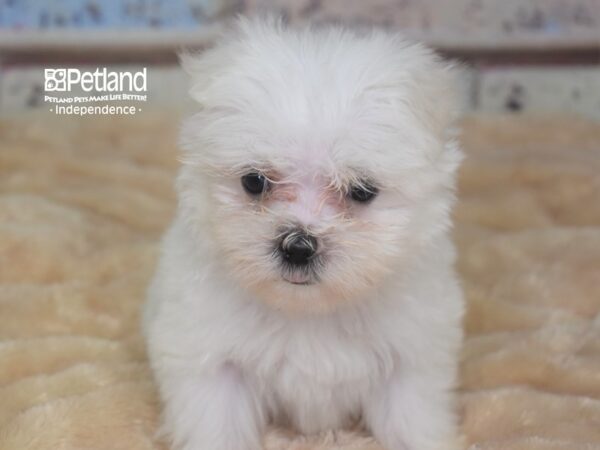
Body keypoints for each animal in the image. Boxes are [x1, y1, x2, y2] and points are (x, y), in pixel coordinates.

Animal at [144, 16, 464, 450]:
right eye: (254, 181)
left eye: (361, 191)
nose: (298, 246)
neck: (310, 311)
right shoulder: (210, 363)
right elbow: (218, 423)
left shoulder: (411, 362)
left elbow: (413, 422)